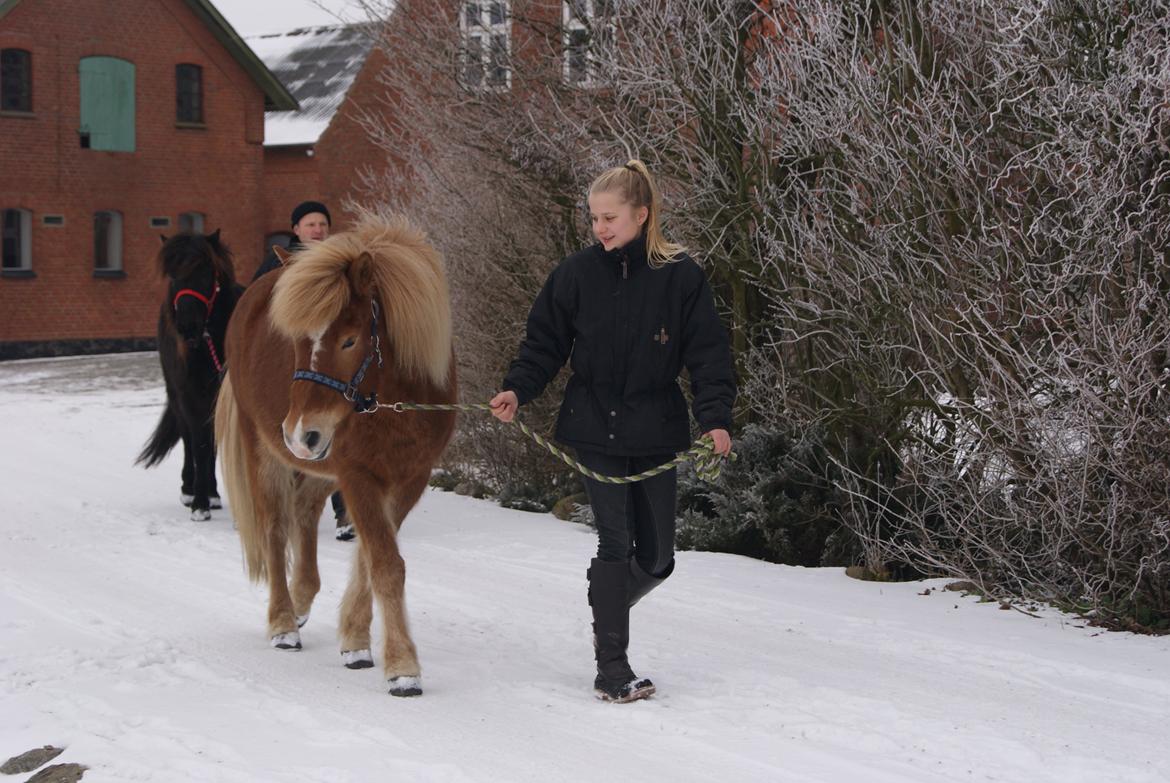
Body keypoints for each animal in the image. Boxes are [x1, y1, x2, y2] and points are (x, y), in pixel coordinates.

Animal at [215, 215, 456, 697]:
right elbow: (385, 562)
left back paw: (303, 597)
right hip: (265, 451)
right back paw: (283, 622)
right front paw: (402, 666)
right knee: (275, 528)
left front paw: (357, 640)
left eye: (349, 341)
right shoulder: (359, 474)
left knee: (305, 512)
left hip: (319, 463)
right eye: (294, 340)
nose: (298, 431)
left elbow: (370, 556)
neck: (392, 401)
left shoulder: (410, 478)